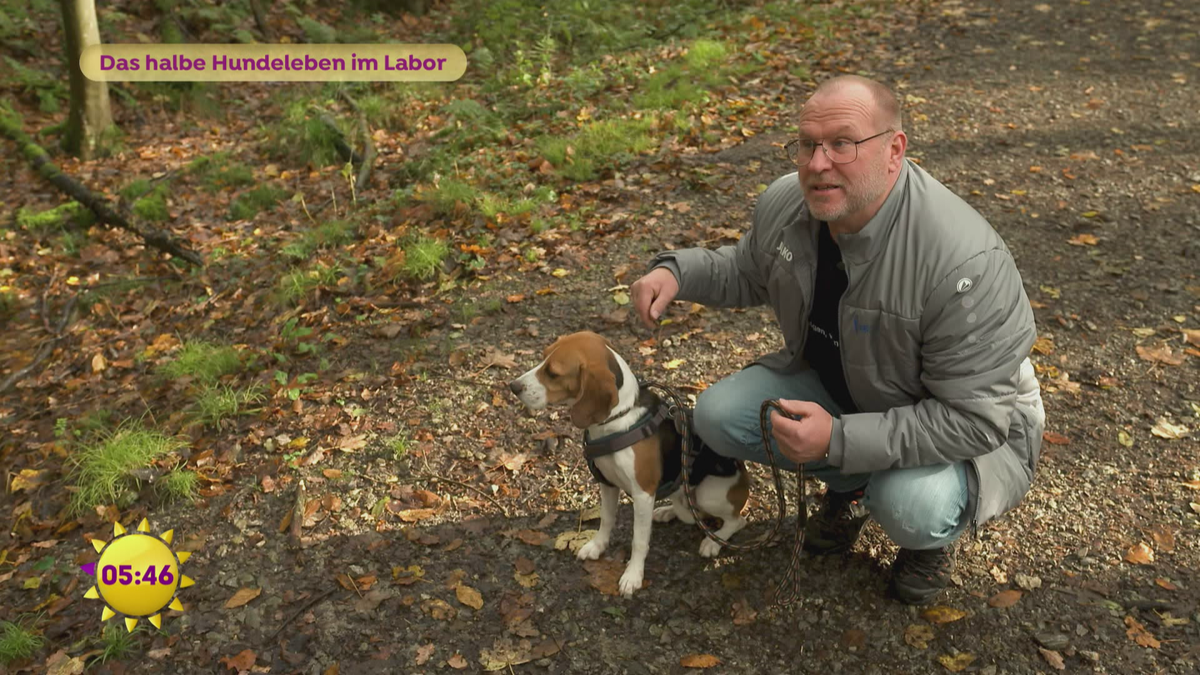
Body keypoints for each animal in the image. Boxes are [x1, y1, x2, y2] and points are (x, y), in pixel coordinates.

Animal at [508, 329, 748, 595]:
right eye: (542, 358)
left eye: (553, 373)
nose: (513, 386)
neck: (617, 419)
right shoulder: (606, 483)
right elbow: (606, 519)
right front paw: (597, 546)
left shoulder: (642, 493)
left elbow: (639, 540)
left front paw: (633, 575)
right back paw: (667, 511)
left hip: (709, 493)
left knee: (737, 520)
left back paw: (713, 542)